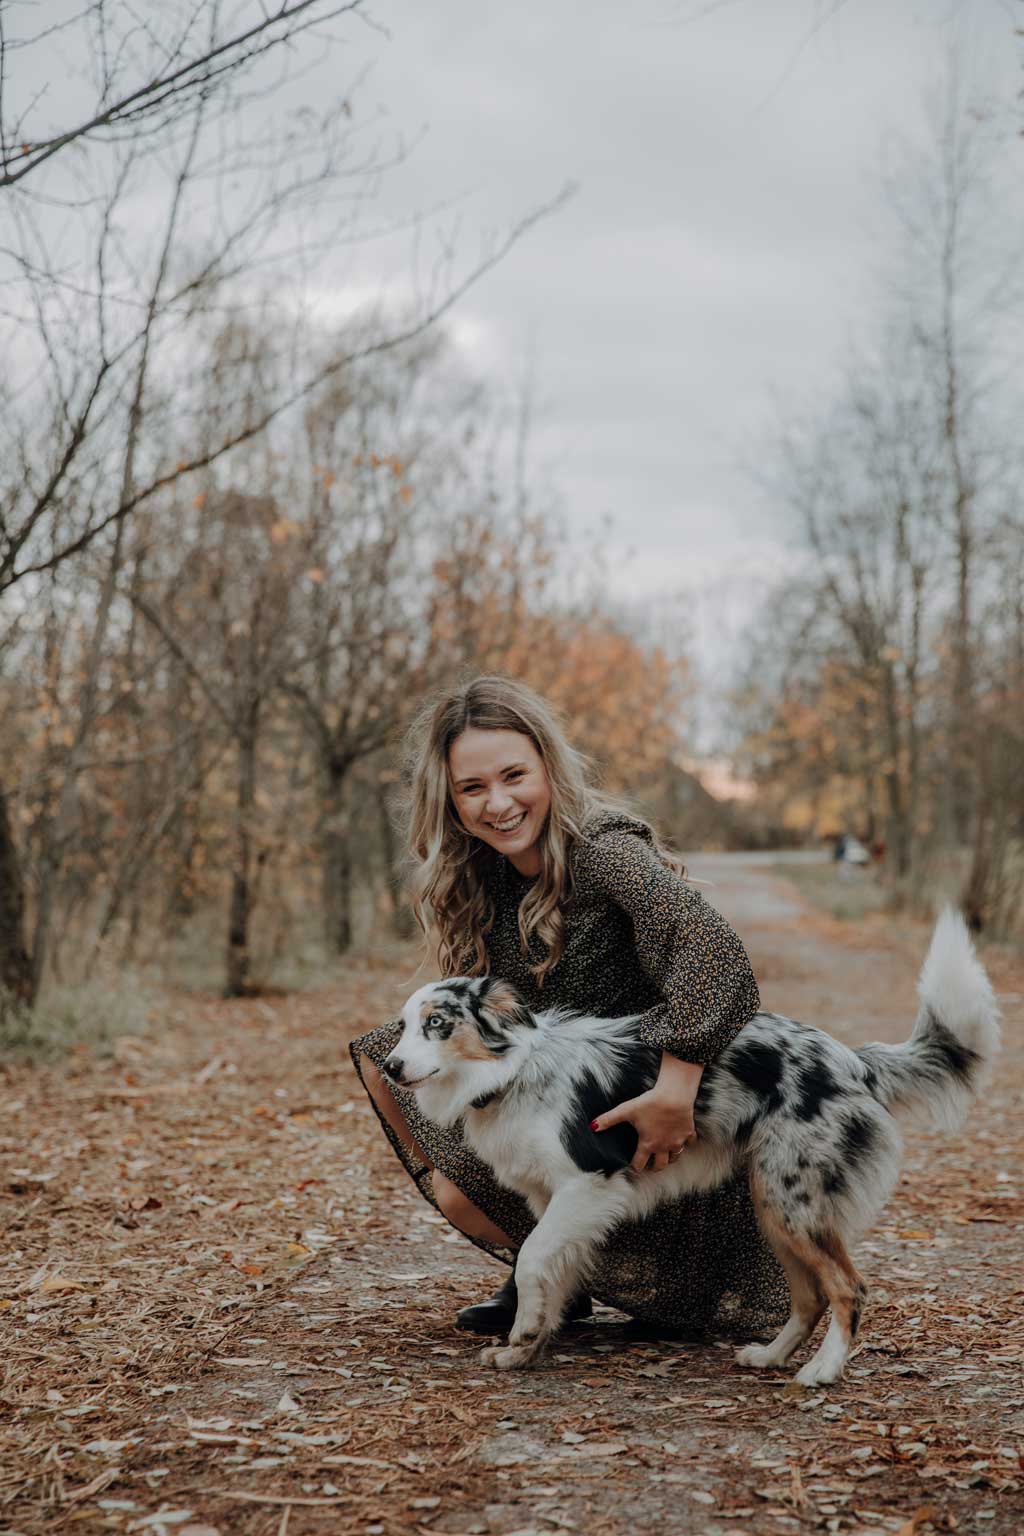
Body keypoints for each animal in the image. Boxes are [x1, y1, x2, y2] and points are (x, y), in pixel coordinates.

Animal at [380, 903, 994, 1388]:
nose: (389, 1067)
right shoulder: (548, 1196)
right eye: (406, 1025)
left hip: (793, 1201)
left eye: (438, 1023)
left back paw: (823, 1370)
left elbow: (532, 1258)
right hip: (773, 1202)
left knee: (848, 1288)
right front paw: (526, 1348)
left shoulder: (589, 1182)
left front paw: (525, 1336)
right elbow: (549, 1273)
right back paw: (770, 1356)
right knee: (811, 1295)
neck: (512, 1072)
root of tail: (851, 1059)